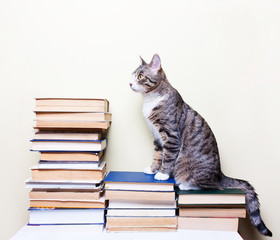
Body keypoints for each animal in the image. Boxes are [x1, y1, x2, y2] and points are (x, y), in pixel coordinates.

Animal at [130, 54, 272, 236]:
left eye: (140, 76)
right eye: (133, 75)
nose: (130, 83)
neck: (150, 99)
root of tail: (220, 173)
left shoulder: (171, 135)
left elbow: (167, 157)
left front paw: (163, 174)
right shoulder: (156, 136)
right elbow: (157, 155)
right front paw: (153, 169)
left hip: (190, 166)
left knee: (214, 187)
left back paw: (185, 185)